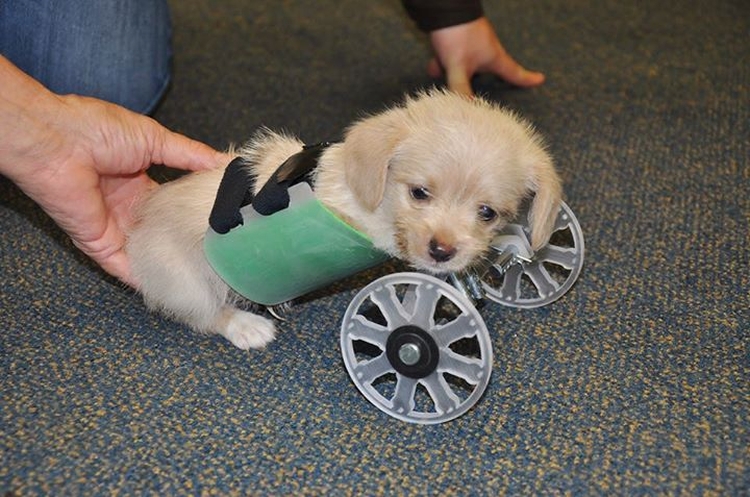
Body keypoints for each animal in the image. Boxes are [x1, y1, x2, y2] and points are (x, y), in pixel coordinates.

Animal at [126, 91, 560, 350]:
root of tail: (137, 233)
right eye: (419, 192)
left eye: (488, 212)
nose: (442, 251)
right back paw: (247, 326)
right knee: (204, 314)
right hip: (187, 282)